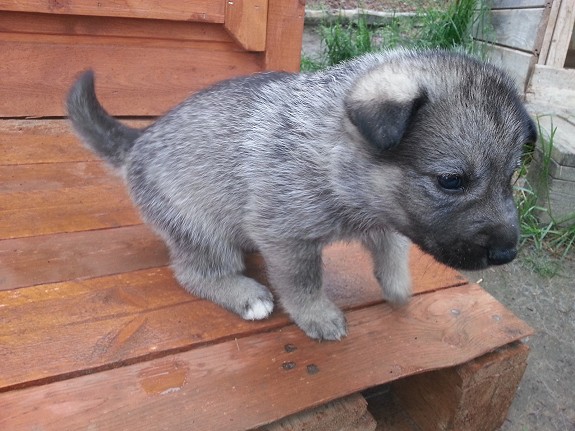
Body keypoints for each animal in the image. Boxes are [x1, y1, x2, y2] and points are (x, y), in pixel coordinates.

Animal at [67, 49, 536, 340]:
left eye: (512, 176)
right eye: (451, 181)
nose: (506, 254)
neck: (330, 153)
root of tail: (138, 143)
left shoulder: (384, 215)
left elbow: (392, 248)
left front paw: (398, 286)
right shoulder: (287, 238)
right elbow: (303, 282)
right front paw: (318, 316)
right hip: (199, 227)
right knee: (196, 272)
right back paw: (245, 294)